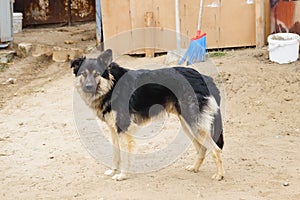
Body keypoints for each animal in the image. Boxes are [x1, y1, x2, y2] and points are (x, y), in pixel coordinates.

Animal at [71, 49, 225, 181]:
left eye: (97, 74)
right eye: (83, 74)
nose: (88, 87)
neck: (111, 85)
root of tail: (203, 77)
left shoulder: (124, 129)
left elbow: (125, 155)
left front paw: (122, 175)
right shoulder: (113, 130)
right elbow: (116, 154)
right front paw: (114, 171)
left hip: (193, 124)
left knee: (215, 150)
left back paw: (219, 175)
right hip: (188, 125)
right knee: (203, 148)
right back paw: (194, 168)